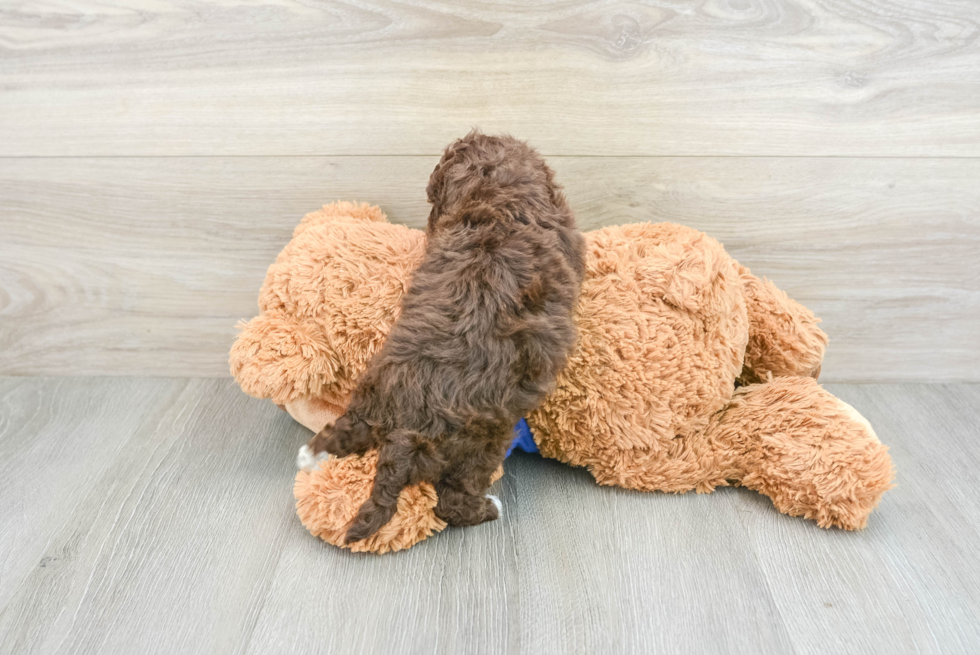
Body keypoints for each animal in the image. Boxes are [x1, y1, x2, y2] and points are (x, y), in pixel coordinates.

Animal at [306, 129, 580, 544]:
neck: (494, 195)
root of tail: (405, 432)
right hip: (480, 445)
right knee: (452, 502)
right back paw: (490, 509)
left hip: (371, 396)